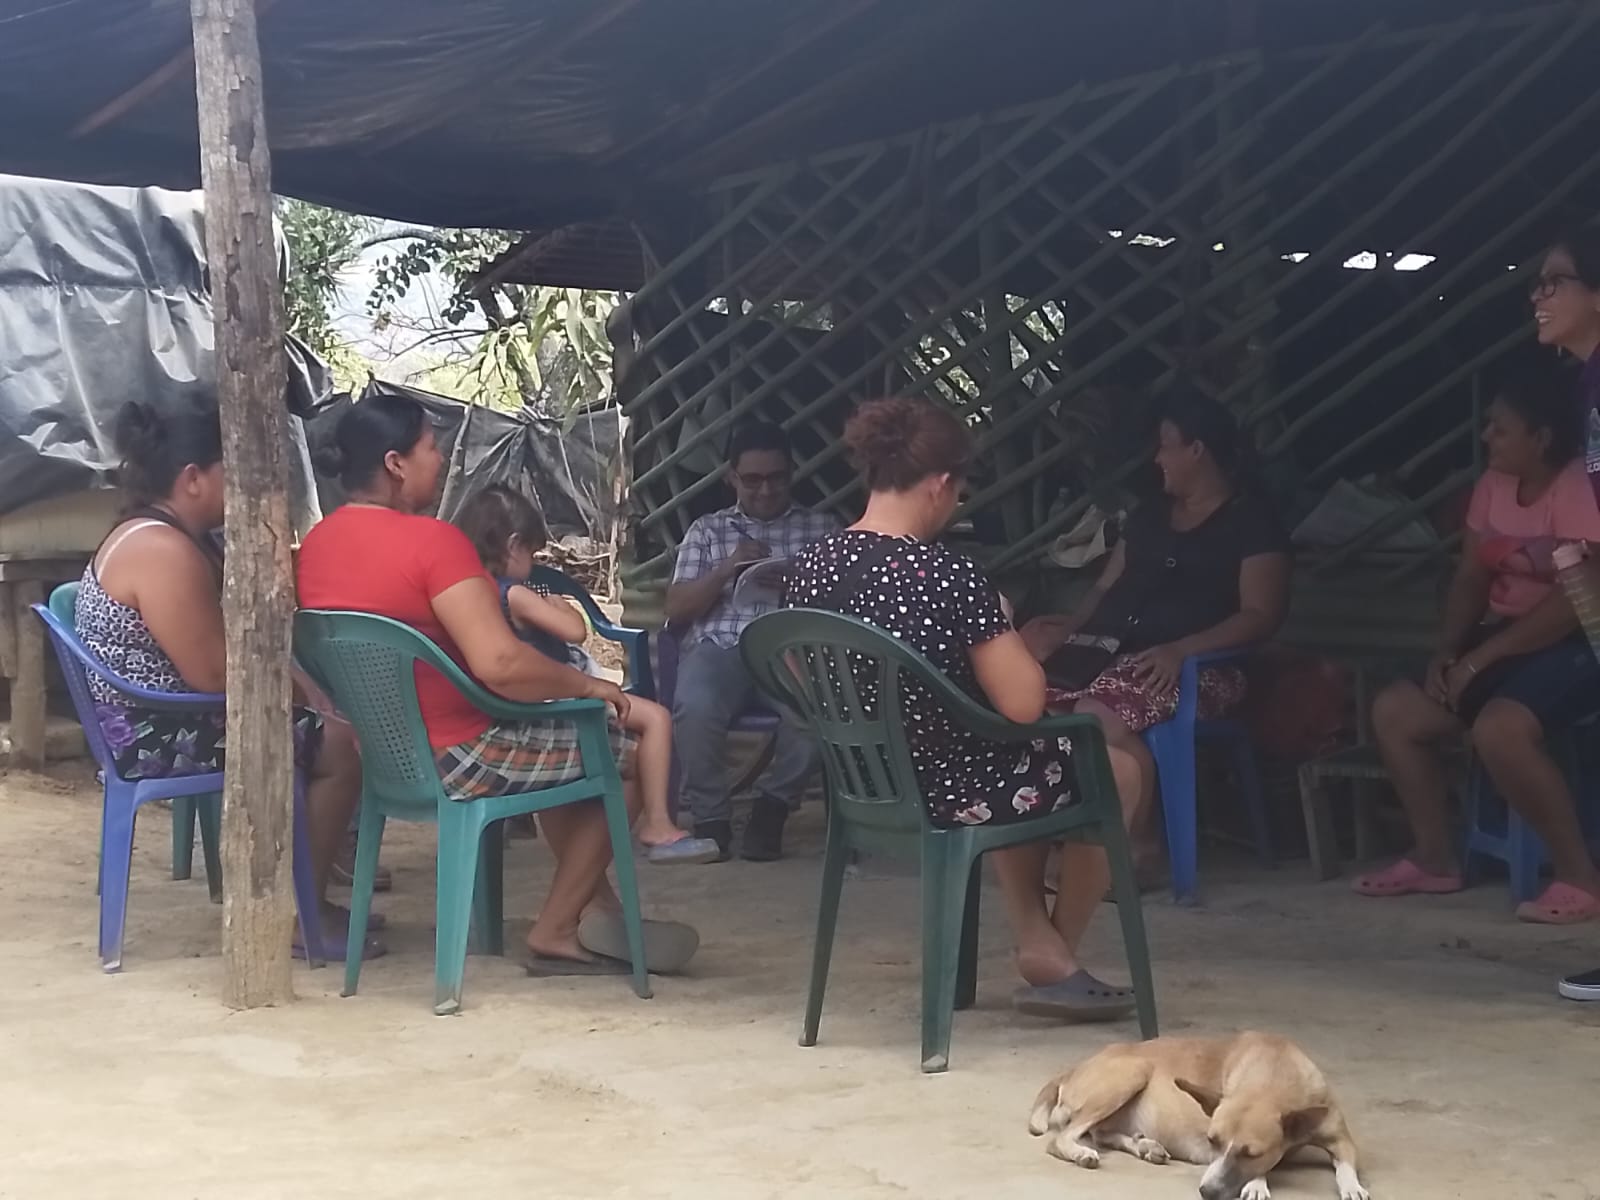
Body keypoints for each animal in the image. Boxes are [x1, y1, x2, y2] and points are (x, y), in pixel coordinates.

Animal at [1030, 1036, 1369, 1200]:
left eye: (1251, 1153)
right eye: (1211, 1141)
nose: (1206, 1192)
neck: (1274, 1071)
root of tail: (1074, 1067)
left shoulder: (1341, 1139)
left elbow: (1346, 1166)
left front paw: (1352, 1186)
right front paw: (1257, 1185)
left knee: (1100, 1133)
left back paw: (1145, 1146)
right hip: (1132, 1073)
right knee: (1061, 1138)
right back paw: (1081, 1152)